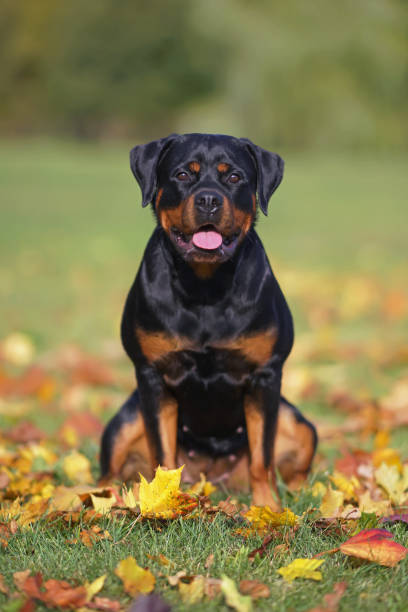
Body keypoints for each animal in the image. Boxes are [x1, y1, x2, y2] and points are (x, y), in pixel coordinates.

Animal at [99, 133, 316, 506]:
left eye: (234, 177)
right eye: (184, 174)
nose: (209, 200)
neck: (205, 287)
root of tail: (213, 478)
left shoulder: (266, 375)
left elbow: (263, 457)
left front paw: (268, 509)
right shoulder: (151, 375)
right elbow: (162, 455)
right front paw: (162, 503)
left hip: (298, 423)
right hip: (125, 421)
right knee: (109, 470)